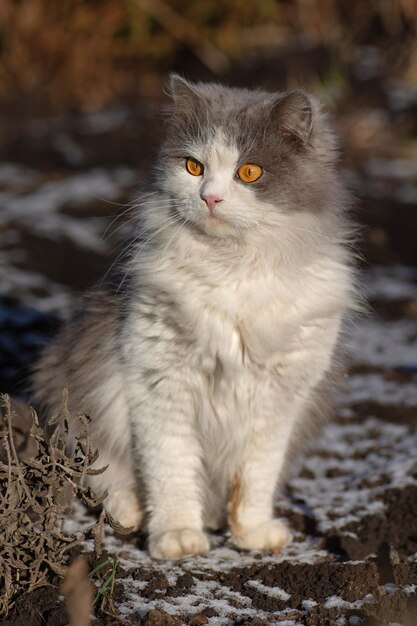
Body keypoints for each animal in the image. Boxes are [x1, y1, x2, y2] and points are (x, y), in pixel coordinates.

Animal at [32, 75, 358, 560]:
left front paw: (252, 533)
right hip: (73, 389)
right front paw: (178, 537)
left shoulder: (279, 400)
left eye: (249, 172)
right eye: (192, 167)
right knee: (107, 475)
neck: (232, 271)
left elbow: (256, 479)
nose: (210, 198)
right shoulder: (160, 382)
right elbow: (171, 472)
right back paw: (129, 514)